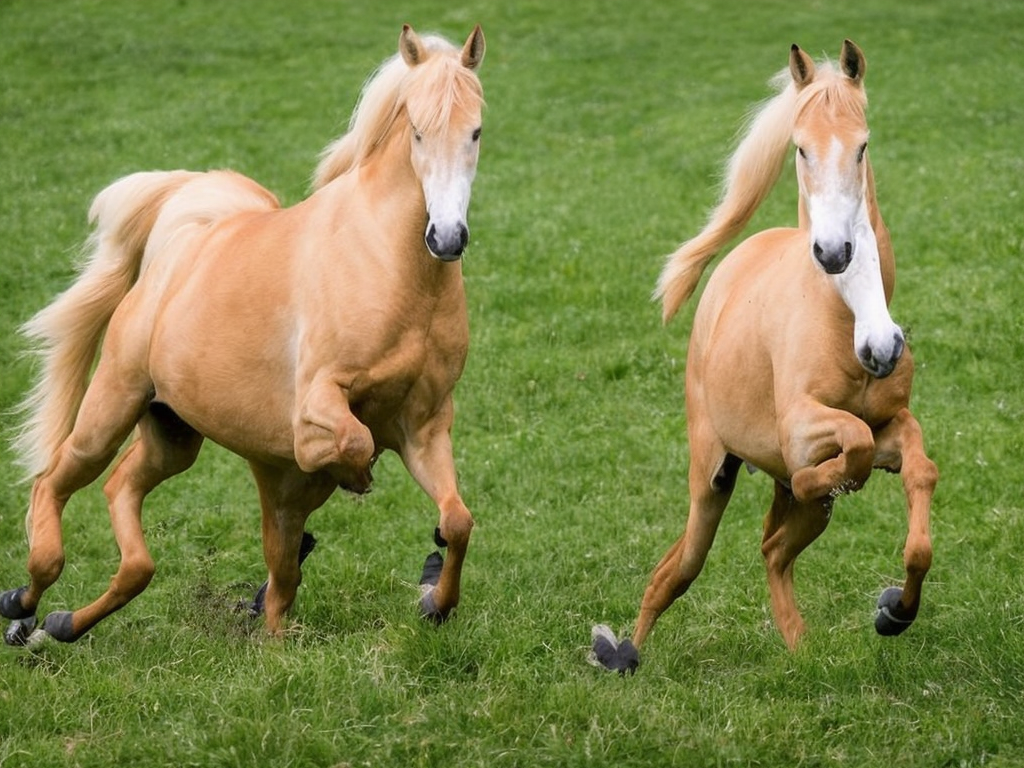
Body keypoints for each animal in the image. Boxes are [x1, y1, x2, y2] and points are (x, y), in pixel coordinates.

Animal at [0, 23, 486, 647]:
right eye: (419, 132)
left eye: (476, 131)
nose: (446, 237)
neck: (390, 269)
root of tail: (182, 238)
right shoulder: (317, 406)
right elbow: (350, 444)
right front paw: (355, 479)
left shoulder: (424, 427)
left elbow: (457, 520)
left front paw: (435, 601)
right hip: (110, 408)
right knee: (53, 484)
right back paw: (23, 605)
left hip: (172, 436)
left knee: (137, 518)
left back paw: (60, 623)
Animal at [593, 40, 937, 673]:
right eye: (801, 147)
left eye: (862, 145)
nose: (833, 251)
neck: (840, 318)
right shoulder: (799, 427)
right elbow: (848, 446)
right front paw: (822, 478)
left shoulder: (895, 424)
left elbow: (917, 479)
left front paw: (894, 611)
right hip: (709, 478)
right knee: (677, 571)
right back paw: (622, 652)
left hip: (789, 510)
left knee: (774, 552)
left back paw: (803, 649)